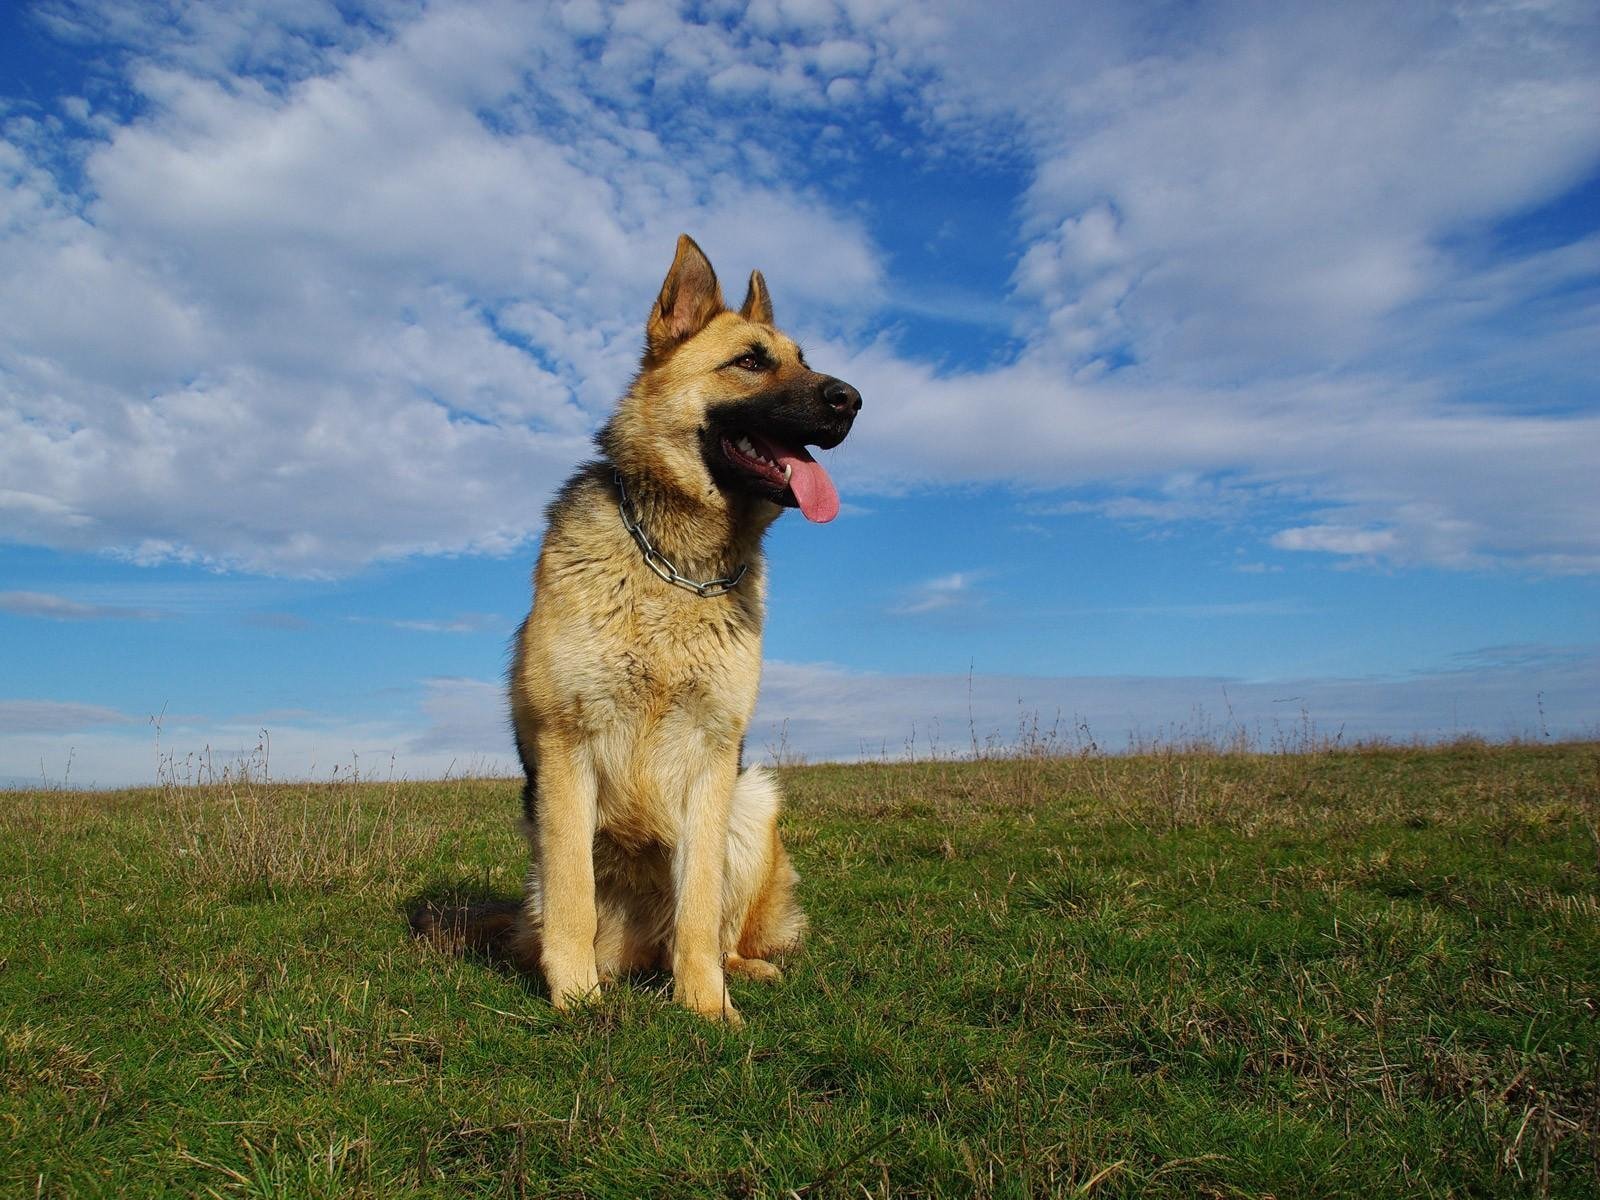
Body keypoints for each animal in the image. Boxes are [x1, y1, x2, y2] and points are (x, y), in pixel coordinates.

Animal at [445, 235, 859, 1024]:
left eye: (805, 358)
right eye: (751, 361)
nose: (851, 400)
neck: (675, 563)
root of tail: (639, 952)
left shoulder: (713, 758)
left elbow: (698, 906)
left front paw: (706, 1006)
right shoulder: (567, 749)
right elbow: (574, 896)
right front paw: (574, 996)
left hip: (753, 803)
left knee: (718, 929)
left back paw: (736, 970)